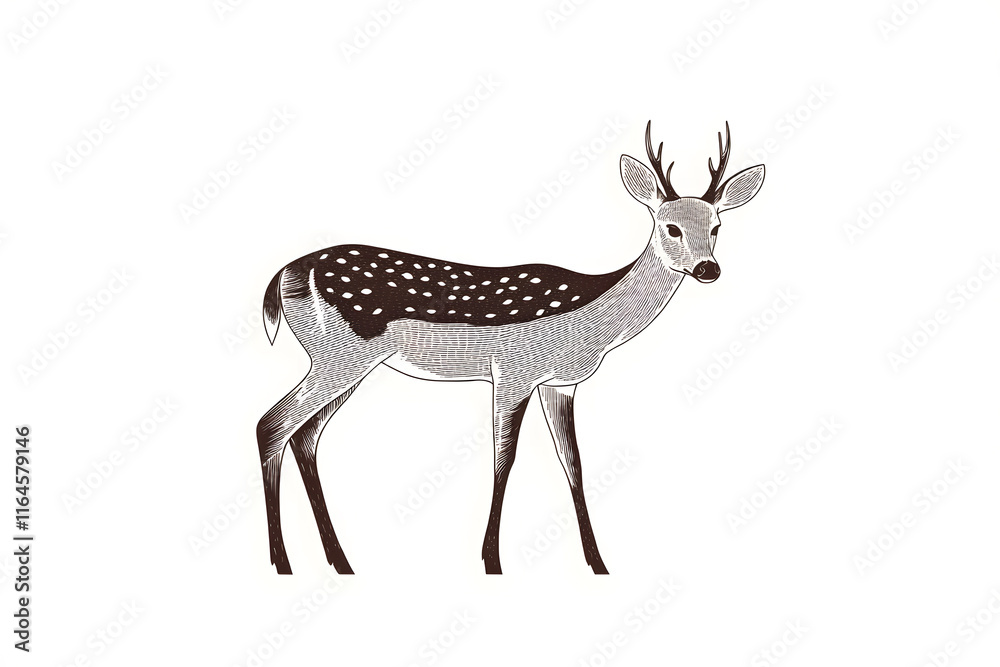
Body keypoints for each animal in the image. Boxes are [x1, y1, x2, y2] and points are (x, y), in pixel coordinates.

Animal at [257, 121, 765, 575]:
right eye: (670, 226)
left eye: (716, 226)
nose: (708, 269)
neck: (591, 322)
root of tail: (282, 276)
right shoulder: (513, 371)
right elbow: (505, 460)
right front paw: (491, 561)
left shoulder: (560, 384)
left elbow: (573, 462)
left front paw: (598, 563)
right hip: (341, 355)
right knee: (273, 424)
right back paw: (282, 562)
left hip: (349, 363)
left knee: (305, 434)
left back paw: (340, 562)